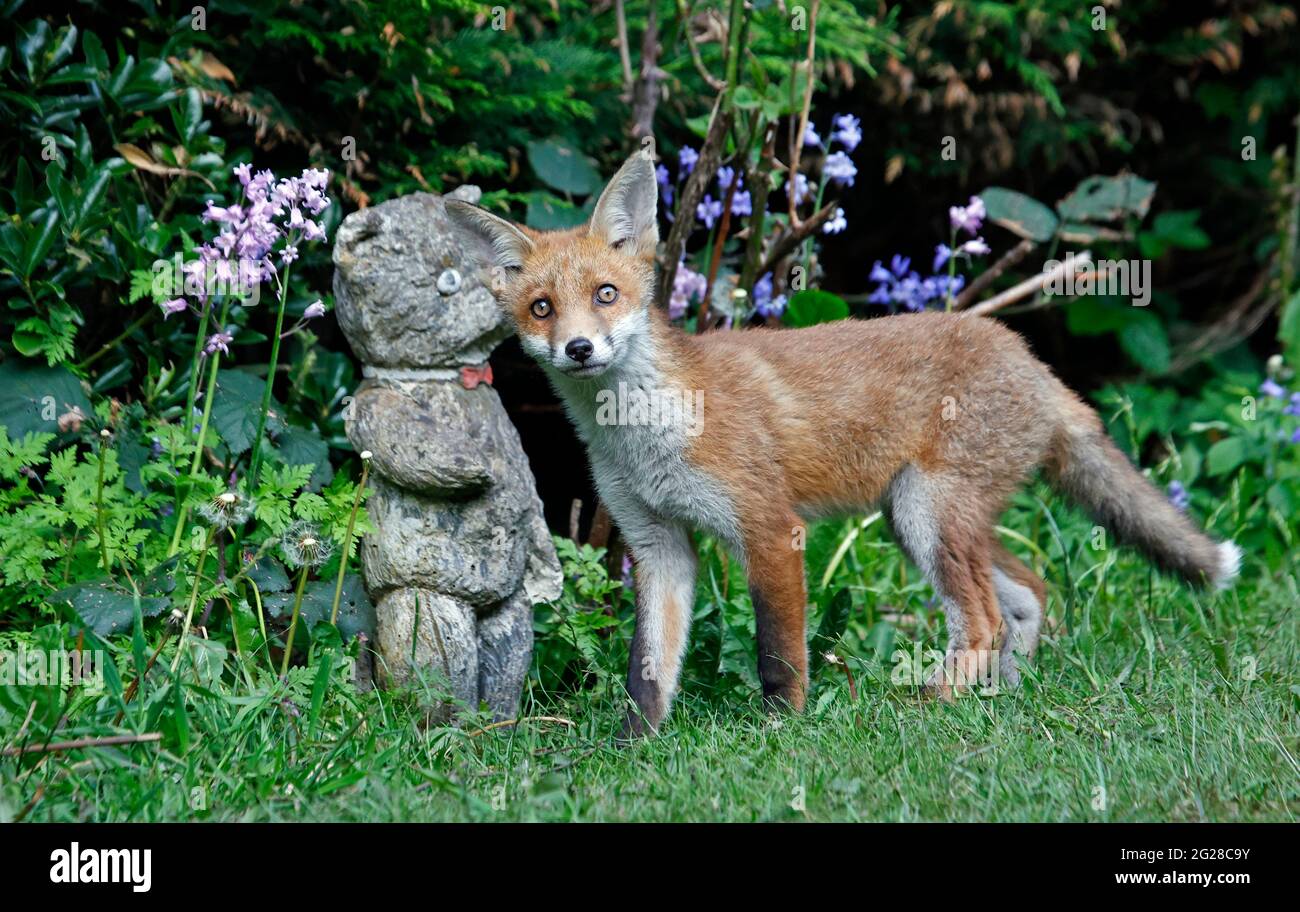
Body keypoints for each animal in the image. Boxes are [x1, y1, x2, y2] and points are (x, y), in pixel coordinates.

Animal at [447, 148, 1242, 737]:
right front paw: (632, 747)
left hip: (926, 514)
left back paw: (931, 705)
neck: (645, 435)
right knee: (1028, 595)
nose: (579, 349)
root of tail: (1032, 360)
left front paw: (781, 733)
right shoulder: (656, 543)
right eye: (542, 308)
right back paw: (1005, 699)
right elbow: (649, 668)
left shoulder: (770, 528)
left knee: (983, 620)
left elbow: (778, 654)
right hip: (920, 520)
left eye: (606, 295)